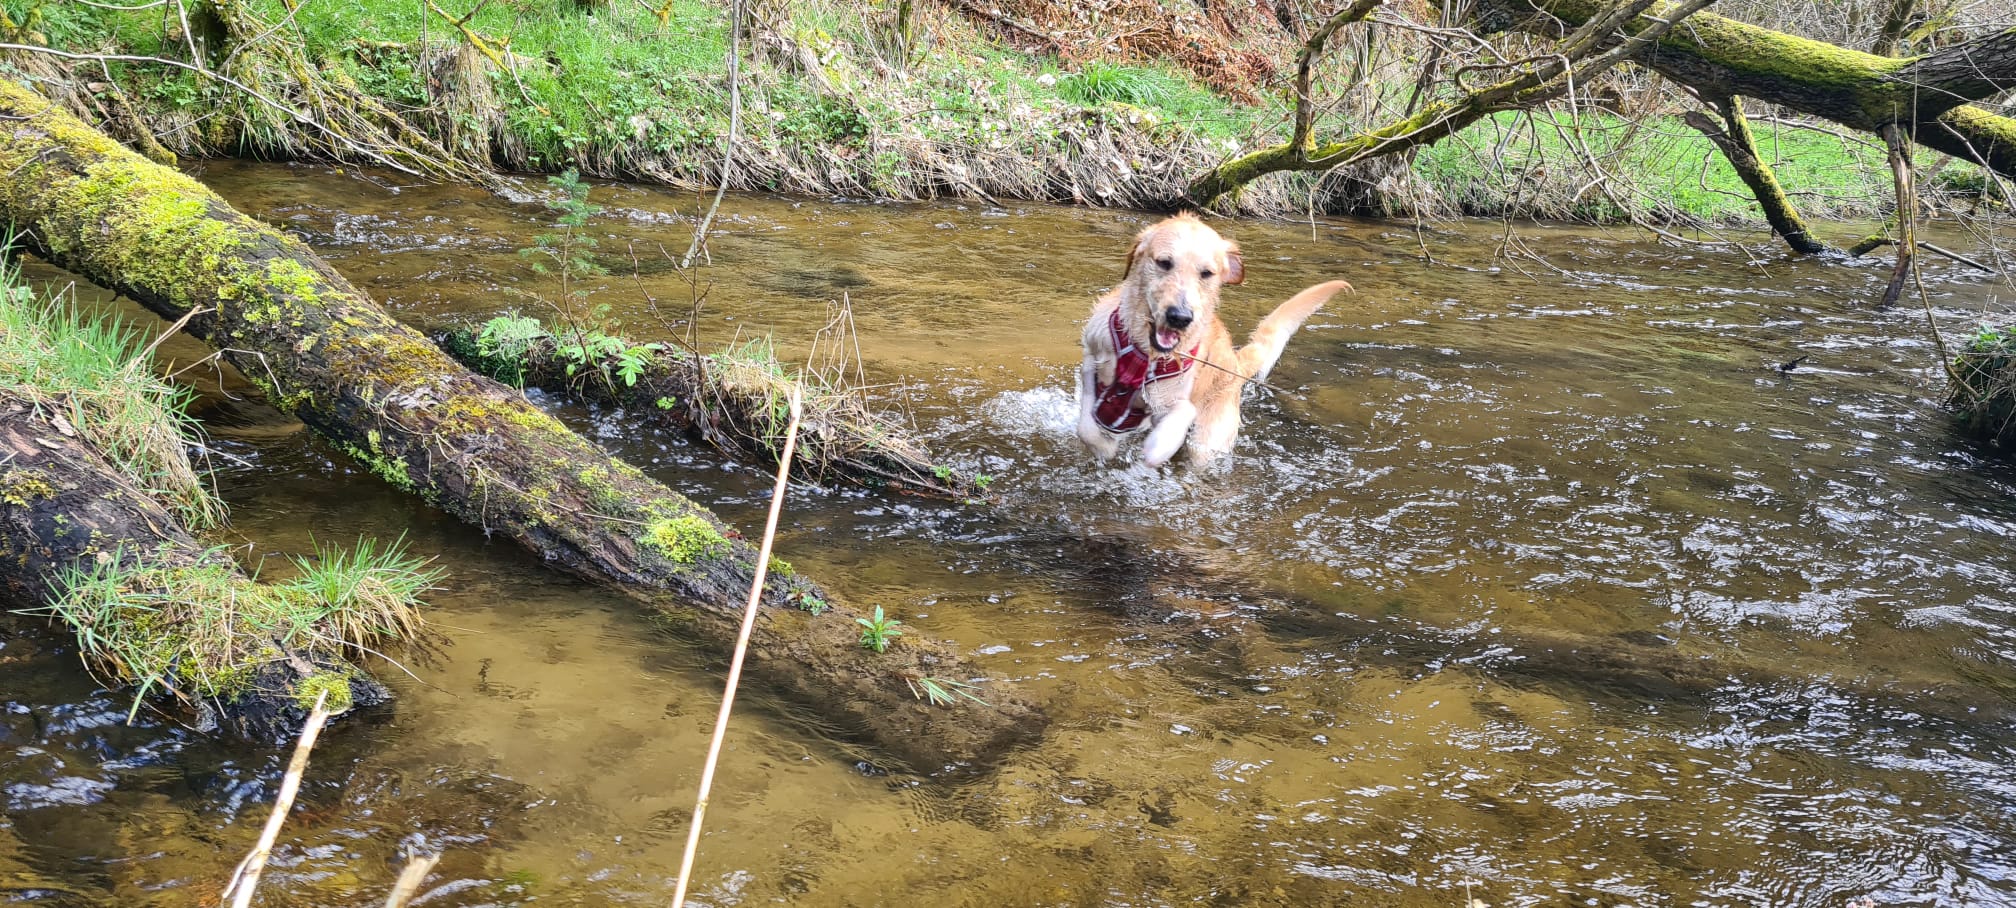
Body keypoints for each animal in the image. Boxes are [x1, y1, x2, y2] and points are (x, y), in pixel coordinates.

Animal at [1080, 214, 1346, 468]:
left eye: (1206, 273)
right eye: (1164, 262)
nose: (1180, 317)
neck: (1144, 354)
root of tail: (1235, 365)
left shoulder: (1172, 400)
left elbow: (1180, 414)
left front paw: (1157, 447)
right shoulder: (1091, 360)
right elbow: (1086, 425)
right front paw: (1104, 446)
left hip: (1208, 441)